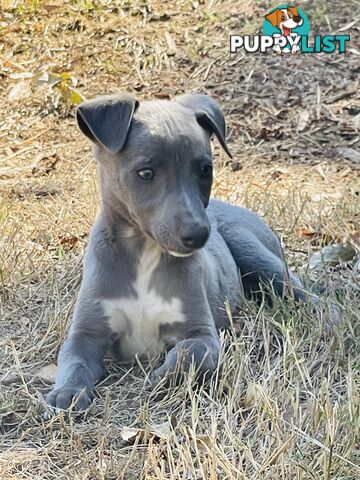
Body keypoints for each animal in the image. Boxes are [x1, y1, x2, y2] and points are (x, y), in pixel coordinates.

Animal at [47, 94, 306, 412]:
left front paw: (158, 379)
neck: (145, 254)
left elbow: (189, 354)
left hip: (254, 254)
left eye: (205, 169)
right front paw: (67, 393)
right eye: (146, 173)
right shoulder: (86, 334)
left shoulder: (200, 334)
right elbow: (74, 361)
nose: (199, 234)